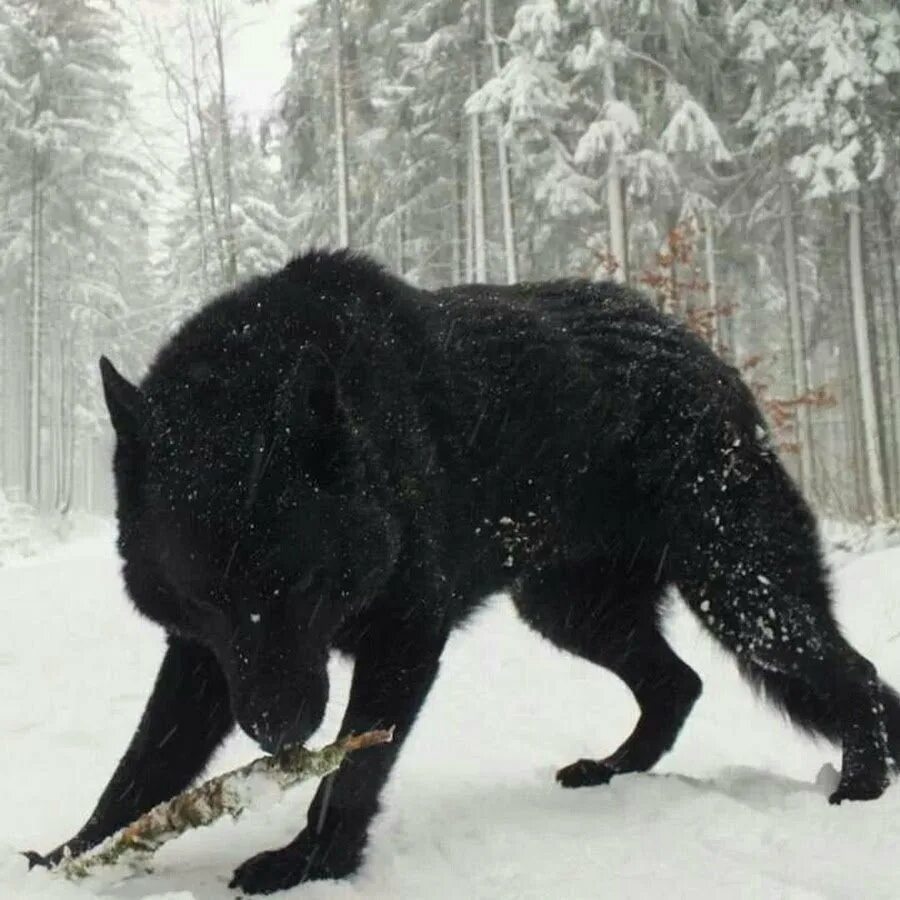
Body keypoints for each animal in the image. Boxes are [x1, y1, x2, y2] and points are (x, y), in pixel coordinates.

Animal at [28, 253, 900, 892]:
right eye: (206, 597)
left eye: (303, 586)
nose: (278, 733)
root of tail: (697, 348)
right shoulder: (207, 659)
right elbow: (141, 768)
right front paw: (69, 857)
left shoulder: (404, 638)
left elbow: (351, 773)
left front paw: (310, 864)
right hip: (571, 610)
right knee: (677, 684)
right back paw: (612, 770)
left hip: (745, 599)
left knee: (854, 675)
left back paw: (860, 786)